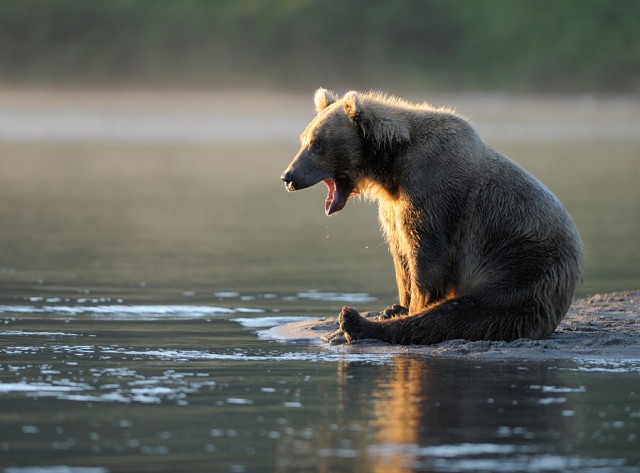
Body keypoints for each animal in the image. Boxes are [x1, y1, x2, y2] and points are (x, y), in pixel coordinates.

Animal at [278, 88, 584, 344]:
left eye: (317, 143)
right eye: (304, 139)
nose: (288, 176)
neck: (390, 166)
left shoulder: (432, 189)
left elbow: (426, 256)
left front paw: (411, 305)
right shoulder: (393, 207)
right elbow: (401, 255)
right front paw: (399, 304)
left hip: (522, 268)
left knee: (465, 313)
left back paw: (356, 321)